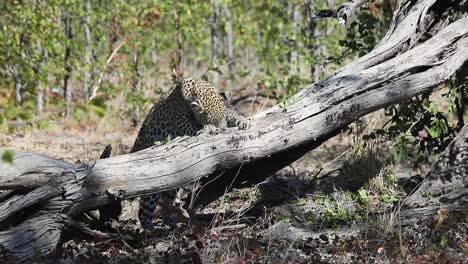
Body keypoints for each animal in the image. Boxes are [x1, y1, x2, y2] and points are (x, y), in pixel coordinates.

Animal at [133, 76, 249, 229]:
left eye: (223, 120)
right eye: (211, 121)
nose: (223, 130)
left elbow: (230, 113)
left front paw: (242, 120)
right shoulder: (179, 121)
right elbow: (192, 125)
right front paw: (208, 128)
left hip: (172, 183)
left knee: (168, 202)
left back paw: (175, 222)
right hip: (152, 185)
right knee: (144, 211)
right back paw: (153, 229)